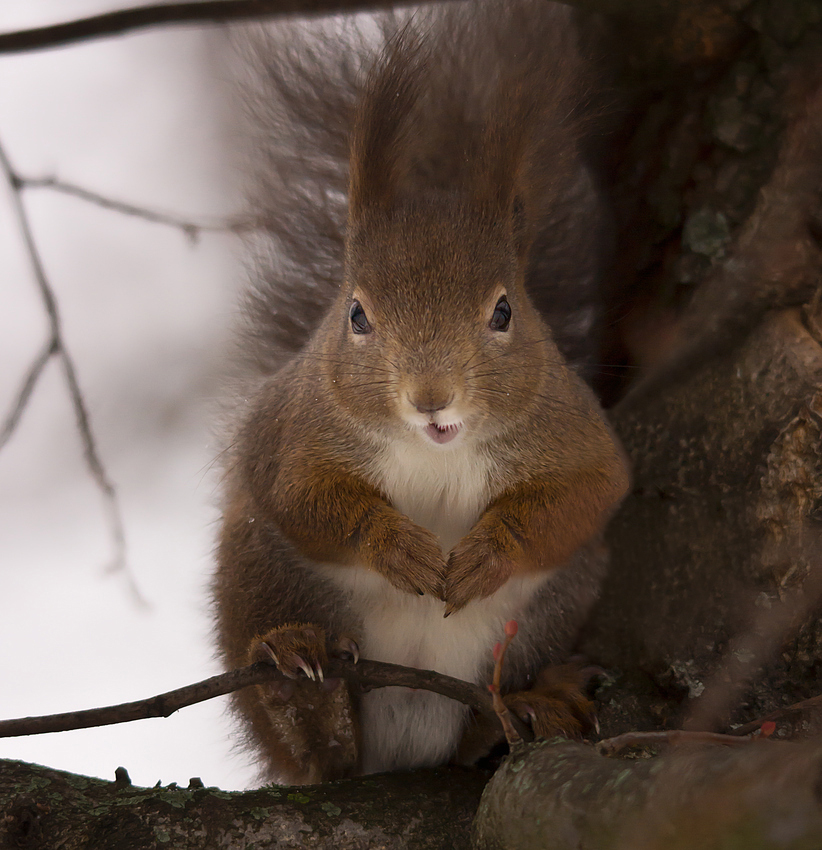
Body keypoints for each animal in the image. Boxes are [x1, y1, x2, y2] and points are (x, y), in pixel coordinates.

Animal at [212, 0, 632, 784]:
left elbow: (586, 495)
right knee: (319, 754)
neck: (437, 452)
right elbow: (300, 494)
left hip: (552, 608)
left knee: (481, 719)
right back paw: (302, 688)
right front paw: (396, 545)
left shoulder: (571, 431)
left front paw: (490, 551)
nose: (431, 396)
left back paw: (526, 708)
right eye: (356, 315)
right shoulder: (291, 432)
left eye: (505, 311)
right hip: (260, 568)